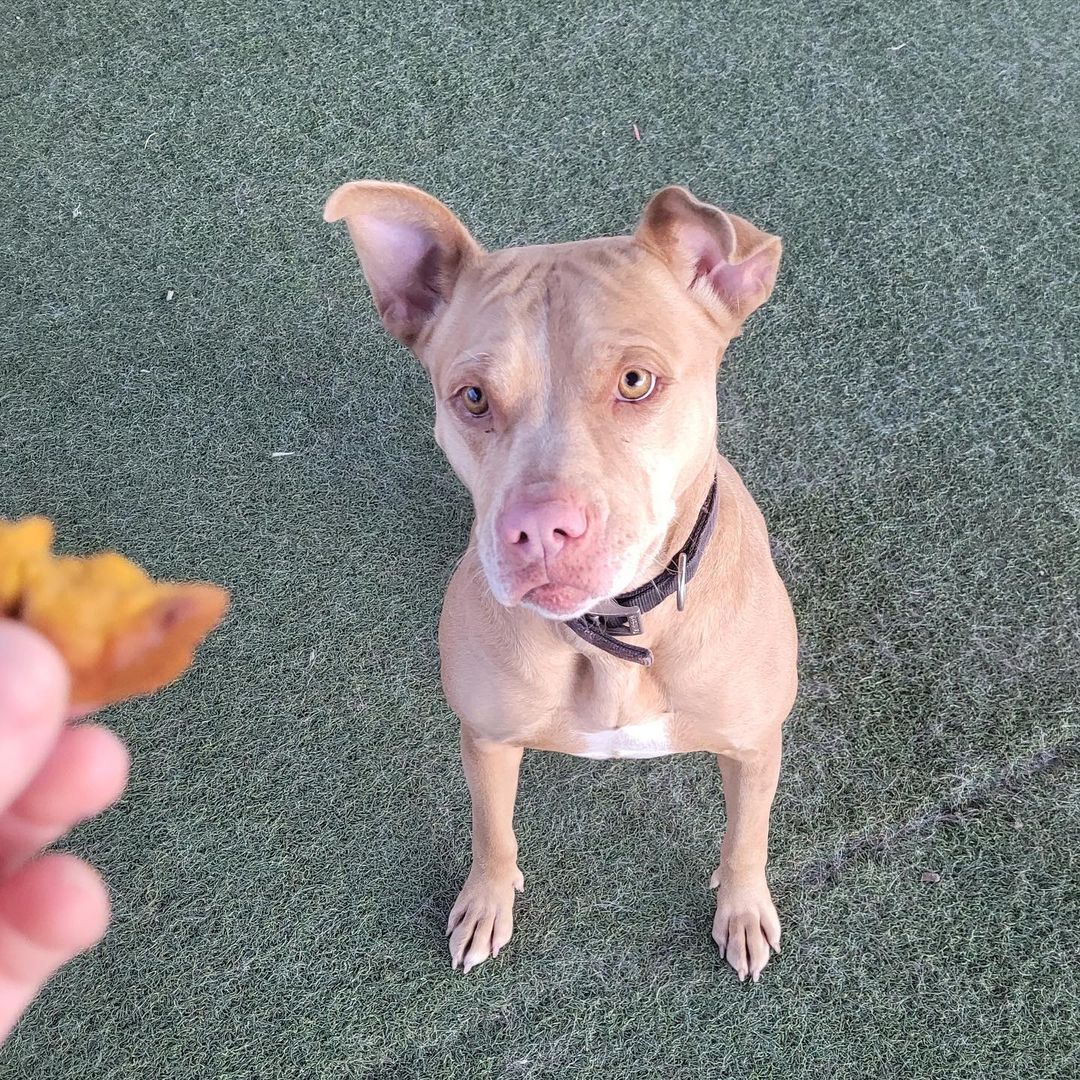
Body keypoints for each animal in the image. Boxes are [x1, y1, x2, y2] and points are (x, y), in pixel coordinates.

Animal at [324, 183, 799, 980]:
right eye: (473, 397)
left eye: (636, 381)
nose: (539, 530)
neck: (616, 631)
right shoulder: (486, 740)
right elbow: (492, 832)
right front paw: (487, 901)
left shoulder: (755, 745)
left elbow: (745, 840)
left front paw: (742, 910)